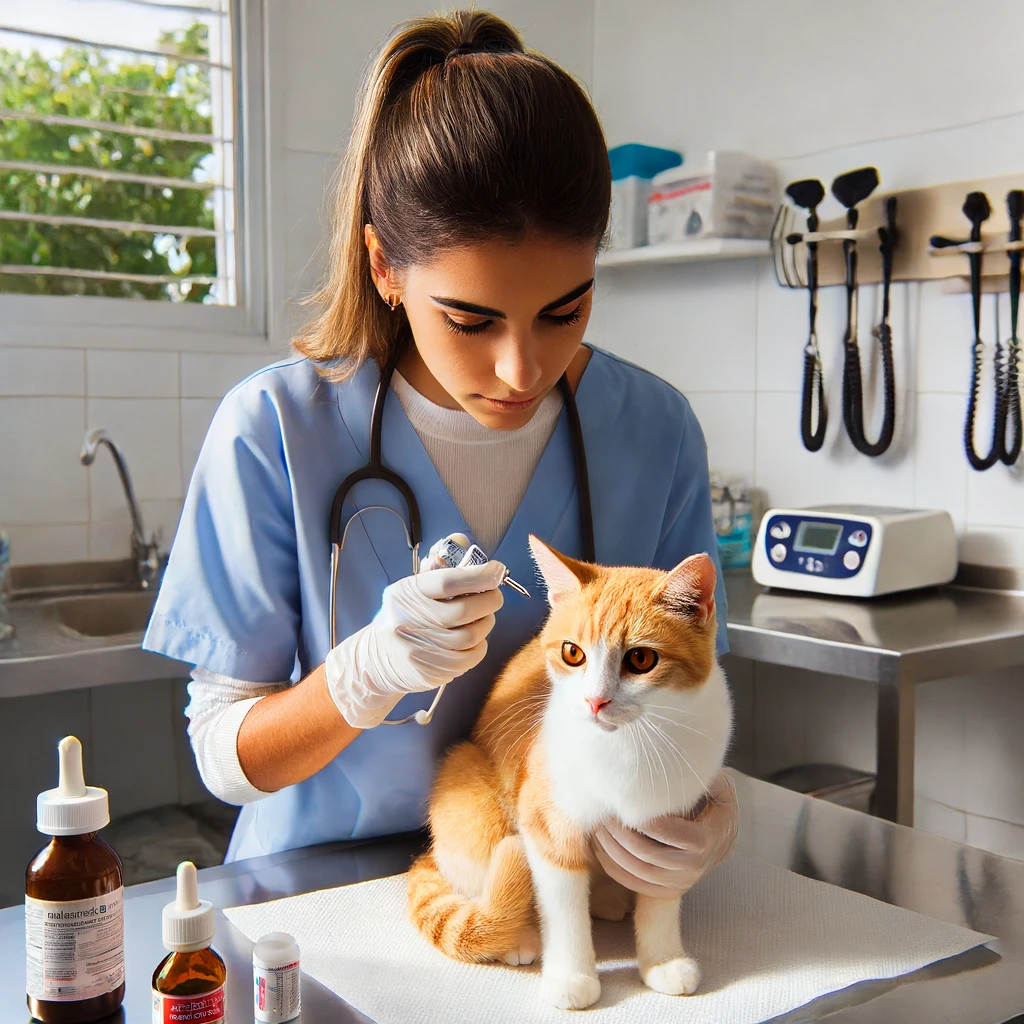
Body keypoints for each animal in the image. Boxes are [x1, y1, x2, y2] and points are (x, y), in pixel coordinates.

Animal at [403, 536, 733, 1007]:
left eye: (641, 659)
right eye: (572, 653)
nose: (595, 701)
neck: (627, 744)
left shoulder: (672, 831)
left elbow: (662, 894)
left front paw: (663, 960)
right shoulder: (547, 821)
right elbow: (563, 907)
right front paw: (571, 976)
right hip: (467, 784)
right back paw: (518, 935)